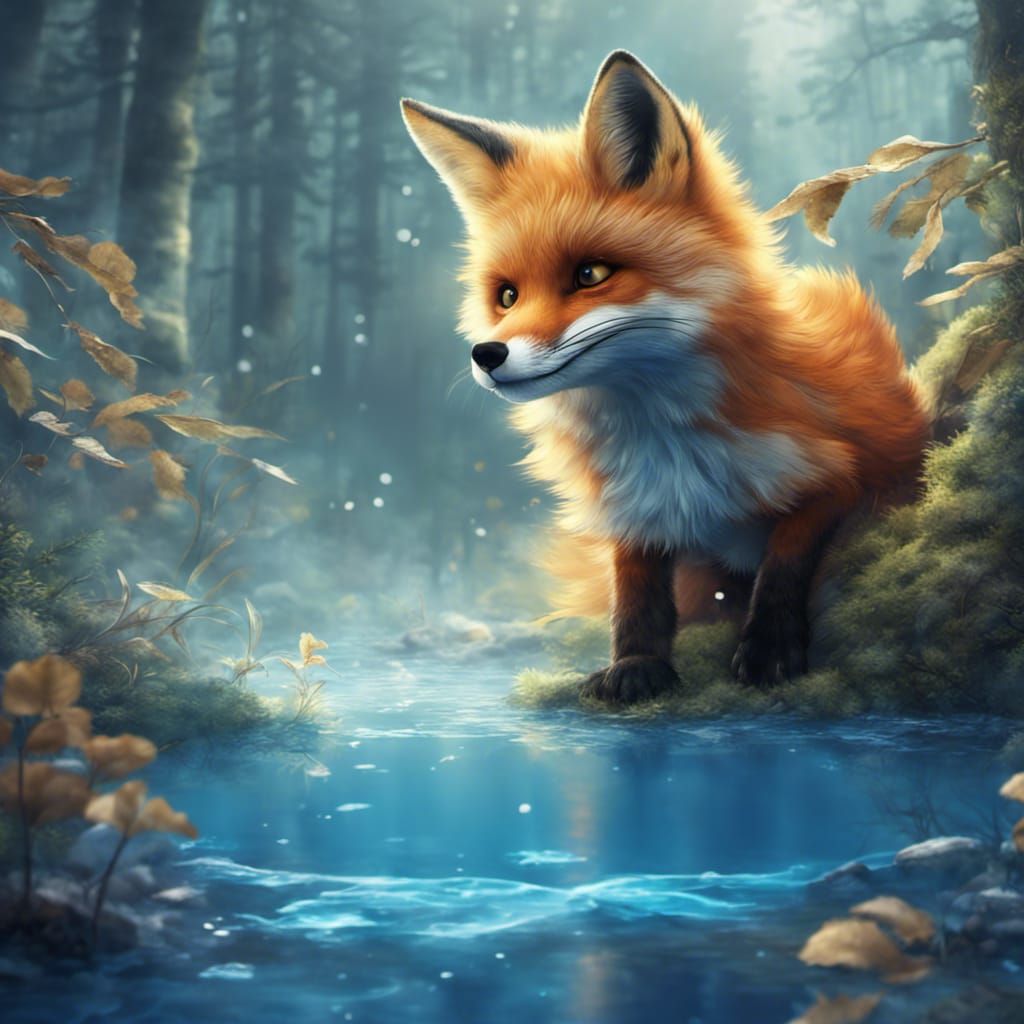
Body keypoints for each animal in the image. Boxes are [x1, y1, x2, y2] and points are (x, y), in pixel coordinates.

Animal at [400, 50, 931, 704]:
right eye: (506, 295)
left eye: (590, 273)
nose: (486, 354)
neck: (666, 449)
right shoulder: (633, 510)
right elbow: (636, 592)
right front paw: (636, 664)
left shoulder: (847, 468)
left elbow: (787, 552)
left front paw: (769, 647)